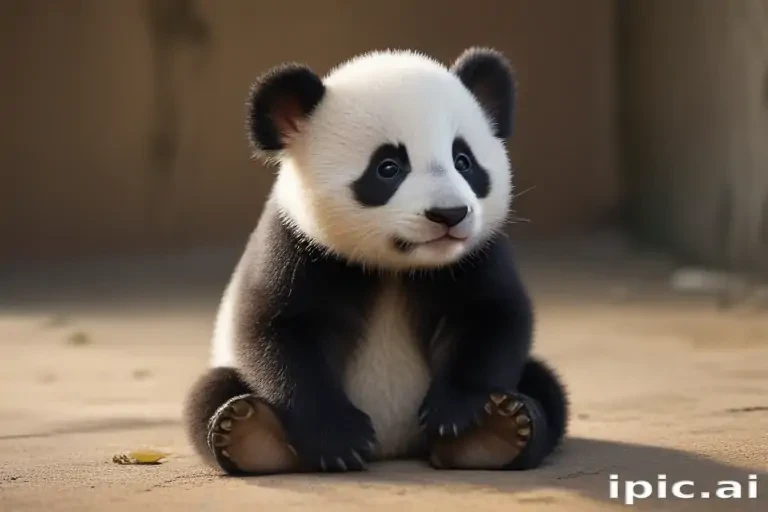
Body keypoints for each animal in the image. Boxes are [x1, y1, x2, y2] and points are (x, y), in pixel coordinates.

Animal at [184, 47, 568, 475]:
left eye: (464, 161)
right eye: (388, 168)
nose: (449, 215)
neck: (395, 267)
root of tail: (395, 445)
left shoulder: (475, 257)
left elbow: (492, 316)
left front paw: (456, 413)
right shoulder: (297, 247)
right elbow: (277, 332)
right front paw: (338, 438)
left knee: (545, 386)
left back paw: (495, 432)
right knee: (209, 393)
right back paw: (247, 434)